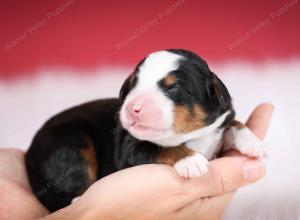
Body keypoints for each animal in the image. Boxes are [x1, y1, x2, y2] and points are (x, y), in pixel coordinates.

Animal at [24, 48, 266, 211]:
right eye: (133, 85)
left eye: (173, 87)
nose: (133, 108)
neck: (192, 136)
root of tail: (29, 153)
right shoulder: (130, 150)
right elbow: (160, 148)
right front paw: (189, 159)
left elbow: (232, 123)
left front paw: (252, 142)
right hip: (71, 141)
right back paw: (78, 200)